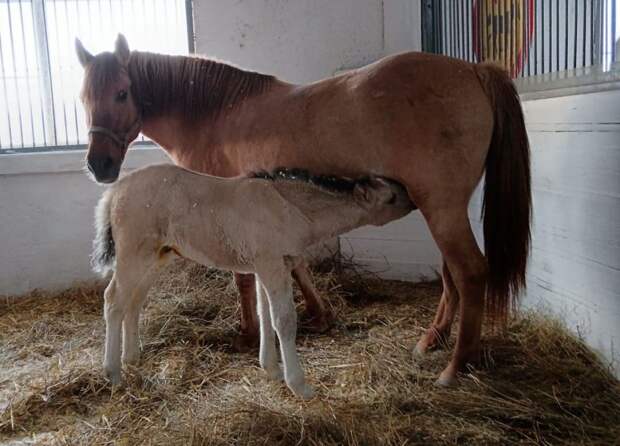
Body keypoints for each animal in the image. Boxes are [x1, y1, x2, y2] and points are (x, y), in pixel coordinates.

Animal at [91, 166, 412, 398]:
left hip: (156, 258)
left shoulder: (265, 267)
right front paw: (299, 386)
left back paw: (131, 358)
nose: (413, 199)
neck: (289, 209)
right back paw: (113, 373)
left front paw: (271, 369)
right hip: (134, 256)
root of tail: (114, 191)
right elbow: (284, 320)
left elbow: (265, 314)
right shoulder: (272, 265)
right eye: (391, 198)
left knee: (133, 302)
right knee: (113, 300)